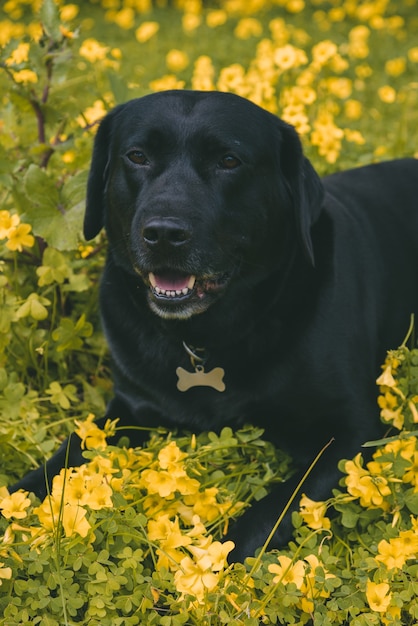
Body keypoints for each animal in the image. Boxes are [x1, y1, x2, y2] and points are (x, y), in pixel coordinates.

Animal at [11, 90, 418, 560]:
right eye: (137, 156)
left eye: (228, 160)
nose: (164, 233)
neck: (203, 337)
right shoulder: (128, 408)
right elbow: (62, 459)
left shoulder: (353, 432)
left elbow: (273, 509)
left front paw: (210, 562)